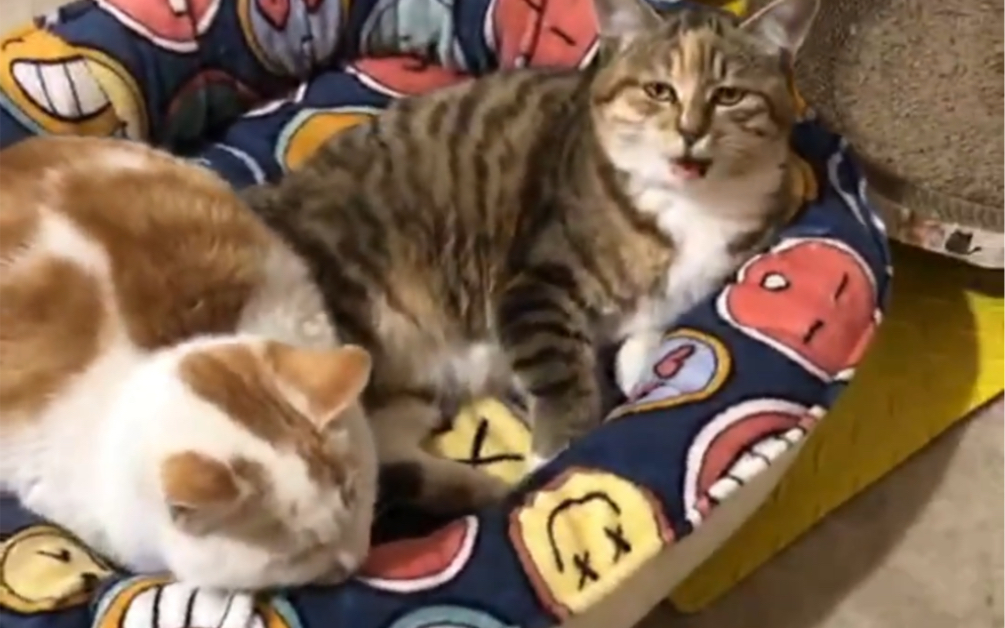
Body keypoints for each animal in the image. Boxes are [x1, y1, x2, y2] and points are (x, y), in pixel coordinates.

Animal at [241, 0, 820, 513]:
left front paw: (644, 375)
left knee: (383, 461)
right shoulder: (534, 283)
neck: (692, 205)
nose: (691, 131)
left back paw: (479, 490)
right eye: (659, 91)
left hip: (405, 394)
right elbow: (563, 379)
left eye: (729, 96)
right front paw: (552, 462)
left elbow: (653, 328)